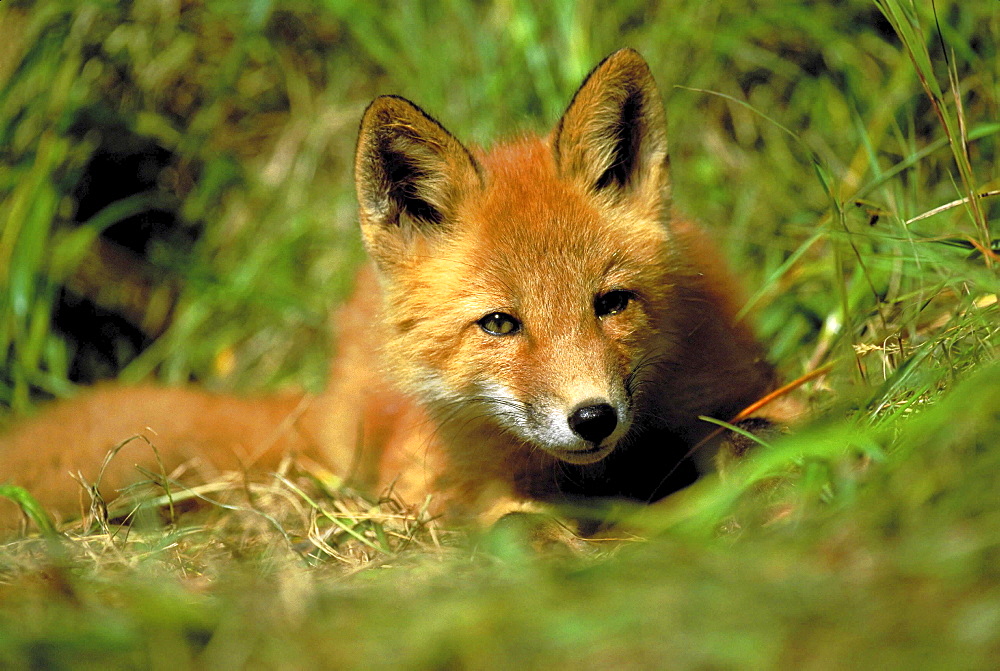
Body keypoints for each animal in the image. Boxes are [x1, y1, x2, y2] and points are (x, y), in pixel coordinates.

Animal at [0, 48, 780, 532]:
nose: (593, 418)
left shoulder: (734, 389)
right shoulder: (448, 480)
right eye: (499, 324)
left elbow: (755, 445)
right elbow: (516, 520)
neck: (603, 470)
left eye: (612, 303)